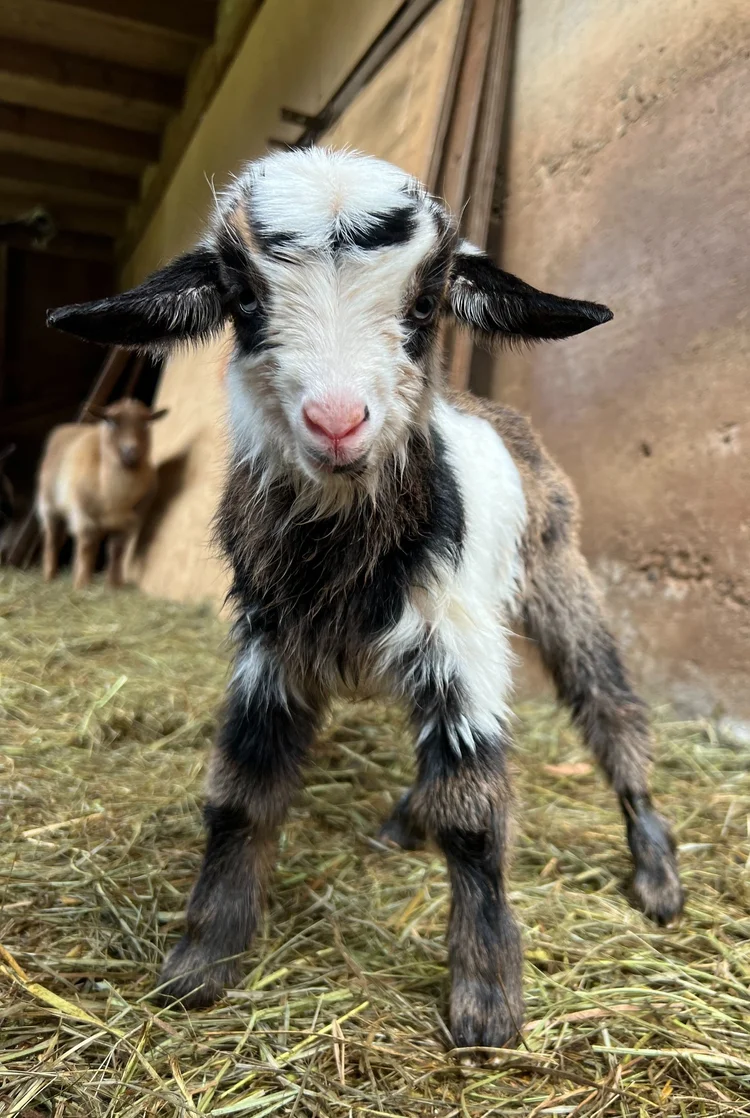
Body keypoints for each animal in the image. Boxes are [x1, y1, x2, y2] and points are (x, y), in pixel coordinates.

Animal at [36, 399, 167, 590]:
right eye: (111, 422)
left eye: (145, 423)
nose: (131, 450)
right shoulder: (84, 517)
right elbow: (86, 548)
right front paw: (82, 584)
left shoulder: (127, 523)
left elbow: (117, 550)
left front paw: (114, 585)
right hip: (49, 505)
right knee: (53, 540)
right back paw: (49, 576)